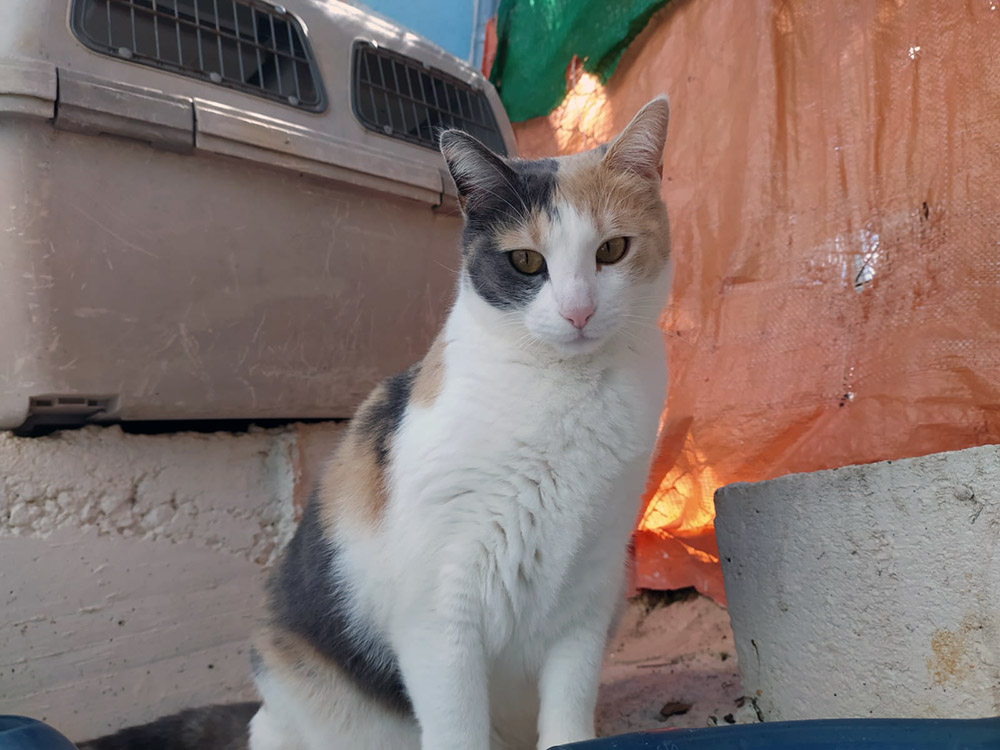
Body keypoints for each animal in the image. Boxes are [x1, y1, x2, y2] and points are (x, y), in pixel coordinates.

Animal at [75, 94, 672, 750]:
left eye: (611, 250)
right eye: (525, 261)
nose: (578, 311)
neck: (566, 397)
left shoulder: (588, 596)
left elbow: (568, 712)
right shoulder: (441, 610)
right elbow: (457, 727)